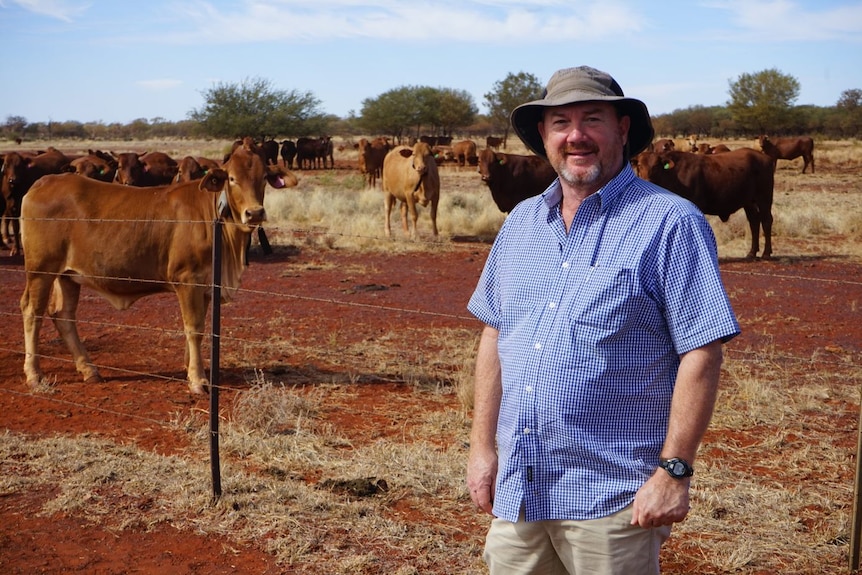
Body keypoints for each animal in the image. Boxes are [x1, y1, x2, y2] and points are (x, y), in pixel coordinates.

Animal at [19, 144, 300, 396]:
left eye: (263, 178)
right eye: (232, 178)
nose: (255, 213)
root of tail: (43, 182)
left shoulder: (207, 285)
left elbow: (199, 327)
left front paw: (190, 368)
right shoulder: (188, 280)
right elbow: (194, 328)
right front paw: (198, 380)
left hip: (67, 276)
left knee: (63, 315)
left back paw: (89, 370)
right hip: (41, 271)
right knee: (33, 312)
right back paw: (34, 375)